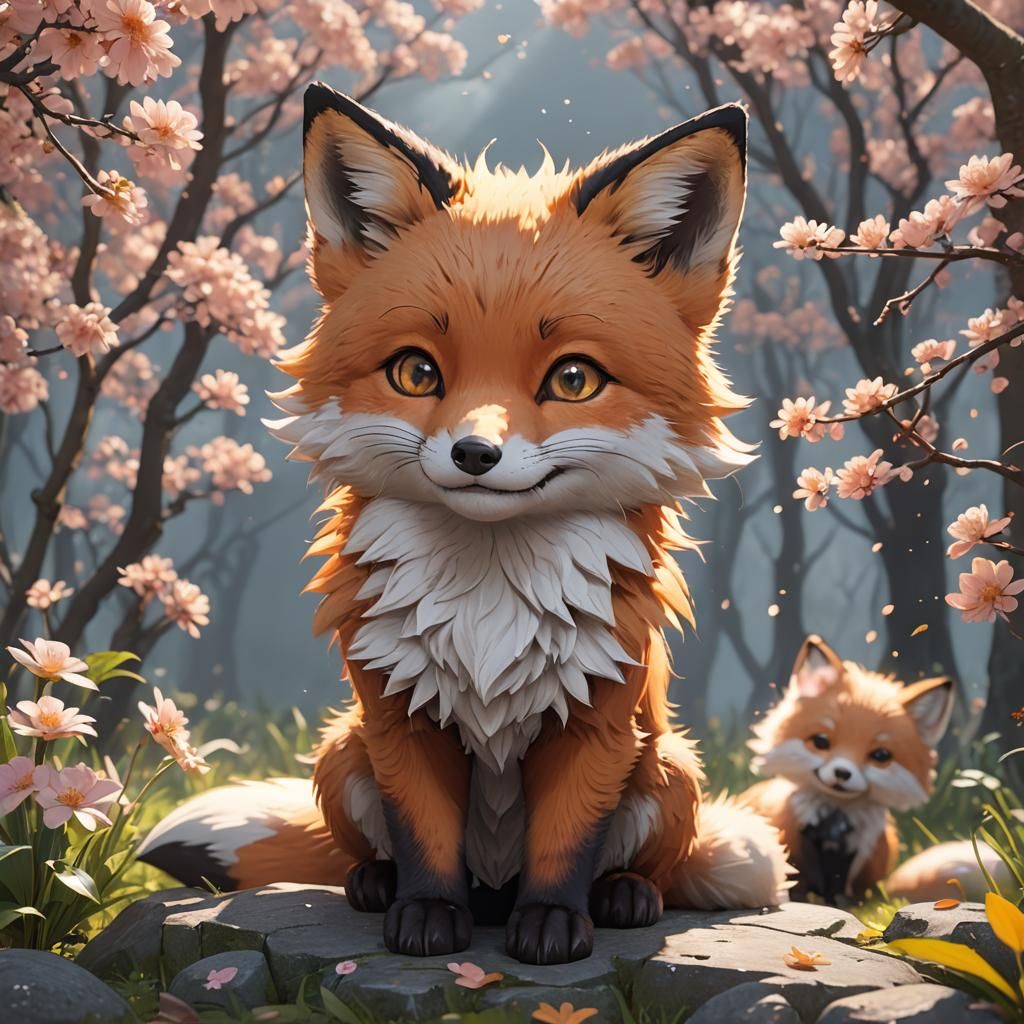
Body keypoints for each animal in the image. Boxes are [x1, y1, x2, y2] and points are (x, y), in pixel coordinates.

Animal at [137, 83, 792, 965]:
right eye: (417, 373)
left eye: (573, 379)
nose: (475, 452)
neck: (489, 605)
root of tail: (494, 886)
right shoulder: (397, 714)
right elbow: (423, 834)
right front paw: (424, 916)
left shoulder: (597, 722)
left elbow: (565, 842)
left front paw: (552, 926)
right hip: (341, 751)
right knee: (372, 850)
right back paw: (377, 886)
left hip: (670, 772)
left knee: (652, 864)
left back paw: (623, 895)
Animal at [739, 635, 955, 904]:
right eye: (821, 742)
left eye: (881, 756)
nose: (842, 772)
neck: (835, 819)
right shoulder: (800, 842)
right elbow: (800, 879)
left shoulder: (856, 850)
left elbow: (842, 889)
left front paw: (843, 905)